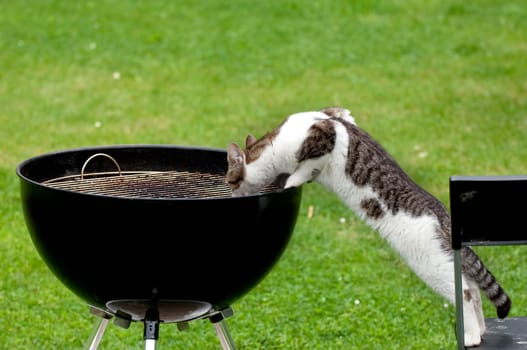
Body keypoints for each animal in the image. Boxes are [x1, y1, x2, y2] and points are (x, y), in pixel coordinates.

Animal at [226, 106, 512, 348]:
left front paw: (290, 182)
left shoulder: (325, 137)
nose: (231, 194)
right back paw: (481, 331)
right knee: (474, 290)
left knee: (465, 292)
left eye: (230, 180)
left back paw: (471, 337)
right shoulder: (339, 113)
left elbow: (304, 168)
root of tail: (442, 213)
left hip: (429, 262)